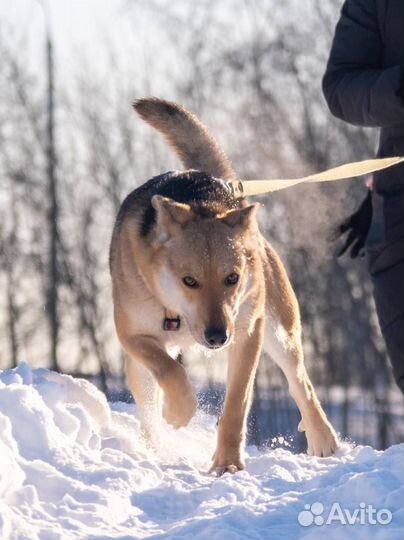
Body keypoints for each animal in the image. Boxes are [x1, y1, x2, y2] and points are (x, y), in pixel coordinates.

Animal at [109, 97, 338, 472]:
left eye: (232, 278)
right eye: (189, 281)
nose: (217, 337)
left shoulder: (247, 331)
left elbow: (236, 405)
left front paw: (228, 464)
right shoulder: (134, 334)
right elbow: (170, 370)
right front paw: (179, 411)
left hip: (280, 330)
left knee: (300, 382)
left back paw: (323, 438)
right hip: (137, 368)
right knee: (150, 398)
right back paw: (159, 442)